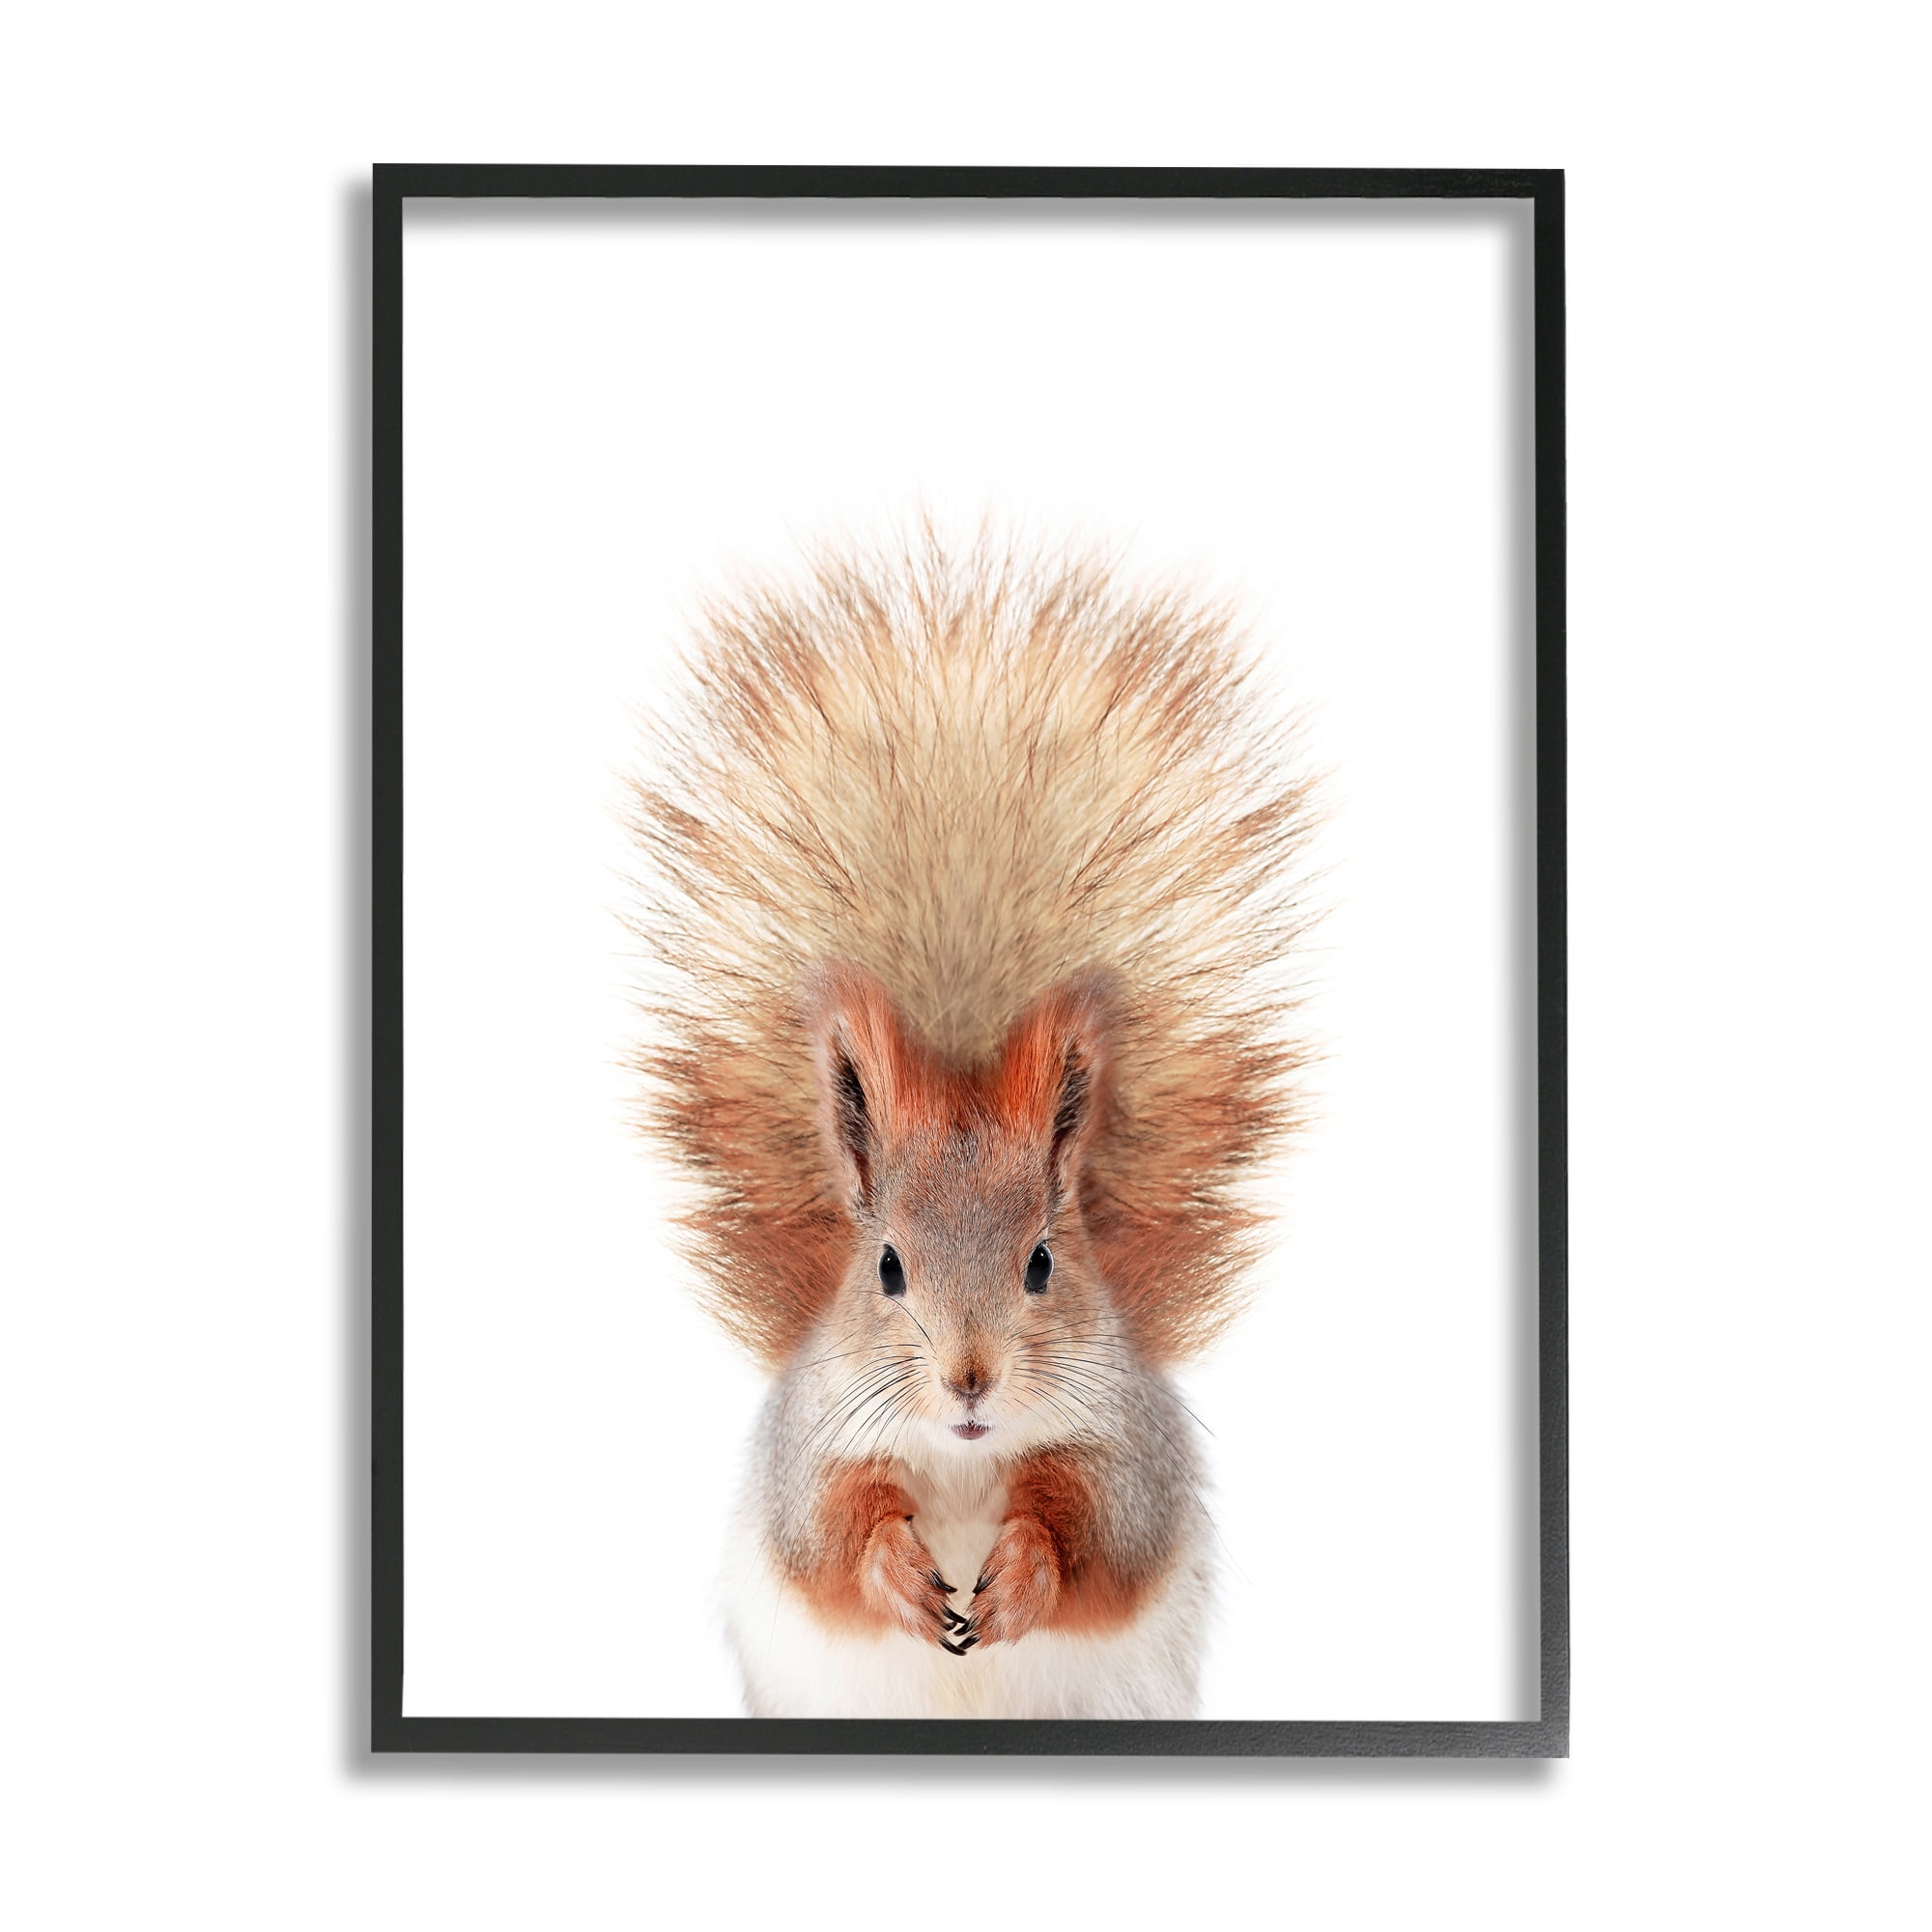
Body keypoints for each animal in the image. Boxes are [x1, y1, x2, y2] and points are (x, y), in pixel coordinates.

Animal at [624, 526, 1319, 1719]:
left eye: (1042, 1262)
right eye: (886, 1267)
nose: (968, 1377)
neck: (960, 1458)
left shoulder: (1127, 1455)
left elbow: (1098, 1539)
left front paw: (1024, 1571)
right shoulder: (810, 1449)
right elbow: (827, 1538)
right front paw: (898, 1572)